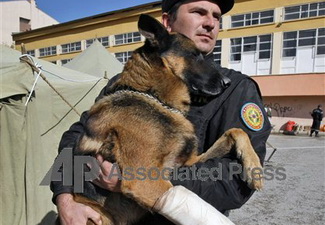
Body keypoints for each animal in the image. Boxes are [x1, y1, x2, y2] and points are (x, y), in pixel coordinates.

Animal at [69, 14, 262, 225]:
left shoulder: (190, 162)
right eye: (195, 55)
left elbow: (237, 131)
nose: (227, 83)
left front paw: (254, 167)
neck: (154, 96)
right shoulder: (144, 179)